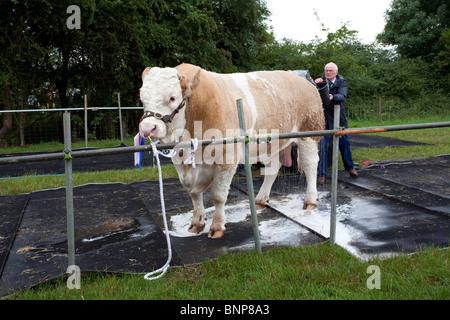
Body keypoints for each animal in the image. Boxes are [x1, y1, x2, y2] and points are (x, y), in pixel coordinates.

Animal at [139, 63, 322, 239]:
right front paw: (197, 222)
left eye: (172, 97)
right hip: (271, 143)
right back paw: (260, 200)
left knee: (310, 165)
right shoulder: (181, 162)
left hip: (309, 133)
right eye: (142, 99)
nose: (147, 128)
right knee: (272, 169)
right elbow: (194, 194)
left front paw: (217, 227)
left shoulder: (227, 157)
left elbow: (218, 196)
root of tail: (304, 81)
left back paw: (310, 201)